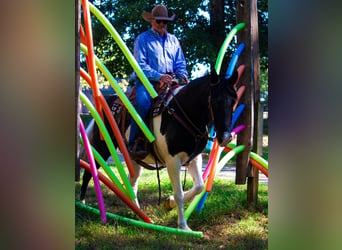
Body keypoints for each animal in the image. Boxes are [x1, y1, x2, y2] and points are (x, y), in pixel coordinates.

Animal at [79, 68, 240, 230]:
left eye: (234, 100)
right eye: (215, 101)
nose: (226, 137)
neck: (181, 113)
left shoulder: (194, 157)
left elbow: (199, 186)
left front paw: (169, 203)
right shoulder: (173, 161)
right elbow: (179, 194)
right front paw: (183, 226)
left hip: (134, 158)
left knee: (133, 182)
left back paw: (138, 213)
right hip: (102, 147)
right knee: (89, 172)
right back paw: (82, 203)